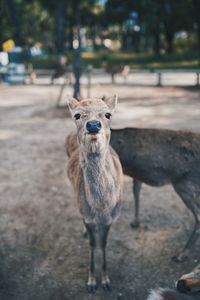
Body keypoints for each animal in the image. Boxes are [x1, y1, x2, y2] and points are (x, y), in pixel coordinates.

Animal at [65, 95, 123, 292]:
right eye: (77, 115)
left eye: (108, 114)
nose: (92, 125)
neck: (101, 207)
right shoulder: (88, 216)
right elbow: (92, 244)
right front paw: (91, 282)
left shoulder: (111, 218)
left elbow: (103, 244)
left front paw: (105, 281)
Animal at [110, 127, 200, 262]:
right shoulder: (137, 173)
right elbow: (136, 190)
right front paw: (135, 222)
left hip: (184, 184)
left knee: (198, 216)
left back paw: (181, 254)